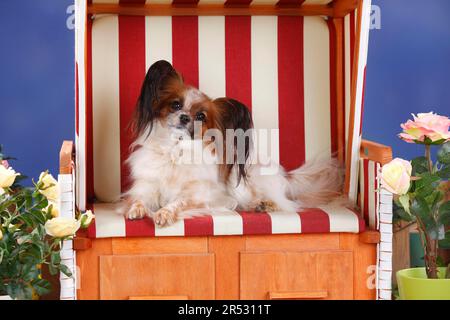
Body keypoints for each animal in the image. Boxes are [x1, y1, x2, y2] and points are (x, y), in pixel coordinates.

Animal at [121, 59, 342, 225]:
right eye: (175, 105)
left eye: (201, 116)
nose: (184, 118)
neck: (176, 150)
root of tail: (285, 176)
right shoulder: (147, 185)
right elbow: (138, 199)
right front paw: (136, 209)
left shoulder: (200, 196)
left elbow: (178, 203)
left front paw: (164, 212)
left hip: (246, 181)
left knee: (285, 203)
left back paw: (263, 204)